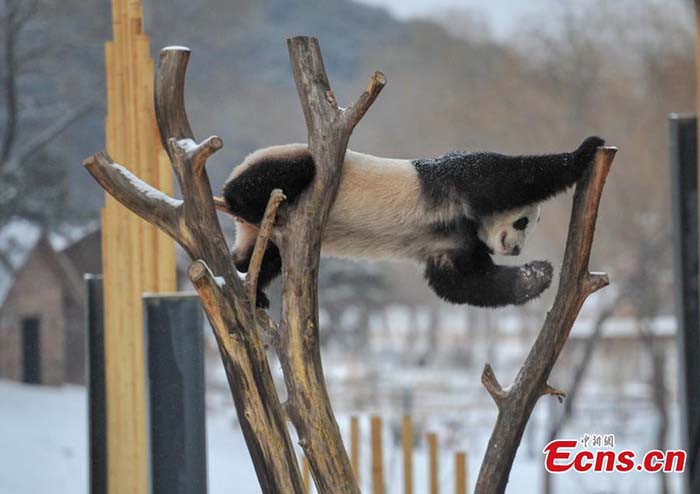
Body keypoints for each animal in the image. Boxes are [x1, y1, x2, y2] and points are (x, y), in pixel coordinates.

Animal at [223, 136, 605, 308]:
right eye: (523, 222)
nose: (515, 250)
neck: (467, 222)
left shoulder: (454, 243)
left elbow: (466, 282)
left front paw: (538, 275)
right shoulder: (459, 179)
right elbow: (508, 177)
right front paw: (586, 151)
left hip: (270, 238)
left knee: (262, 257)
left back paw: (250, 285)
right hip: (283, 160)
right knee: (292, 171)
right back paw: (243, 199)